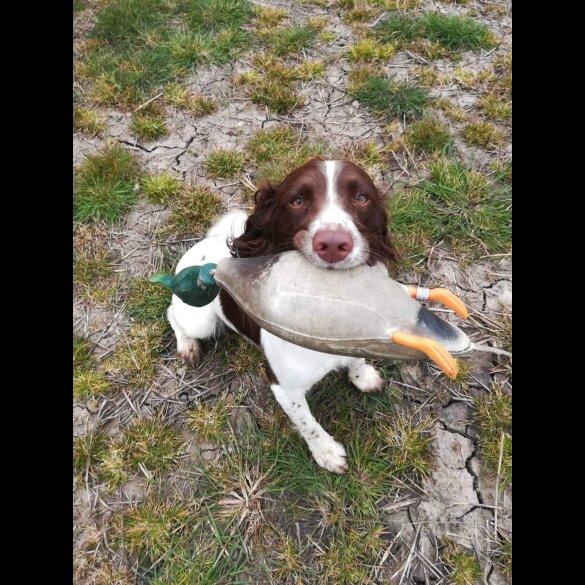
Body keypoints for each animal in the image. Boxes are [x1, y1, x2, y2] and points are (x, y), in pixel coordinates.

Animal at [167, 157, 400, 472]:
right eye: (297, 200)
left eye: (361, 198)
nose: (333, 243)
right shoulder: (283, 387)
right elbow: (308, 424)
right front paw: (327, 453)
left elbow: (357, 359)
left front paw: (362, 377)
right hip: (199, 319)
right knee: (173, 313)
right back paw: (187, 347)